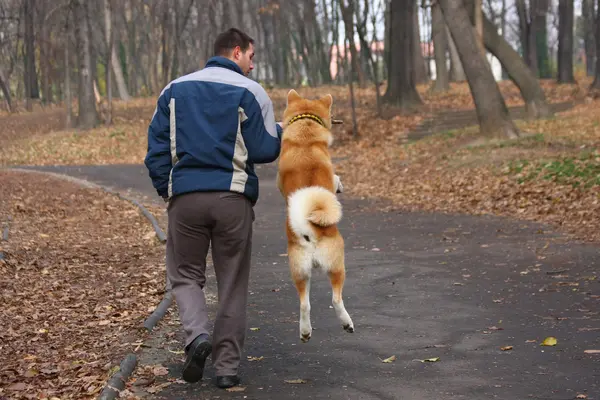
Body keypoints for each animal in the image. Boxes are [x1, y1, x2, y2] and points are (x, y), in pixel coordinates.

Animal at [278, 89, 356, 342]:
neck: (305, 131)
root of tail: (310, 232)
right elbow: (336, 178)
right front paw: (340, 185)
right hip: (338, 265)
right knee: (336, 298)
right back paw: (347, 323)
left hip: (299, 271)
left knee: (305, 304)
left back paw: (305, 331)